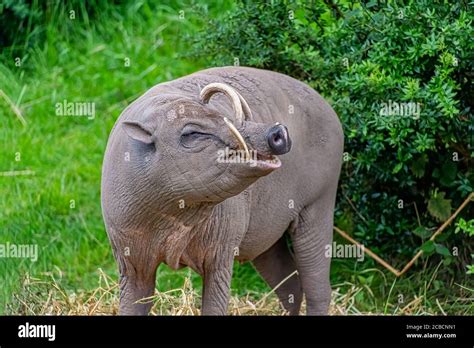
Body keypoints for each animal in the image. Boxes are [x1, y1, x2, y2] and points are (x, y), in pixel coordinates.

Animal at [101, 66, 344, 316]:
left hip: (319, 204)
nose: (277, 132)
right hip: (266, 236)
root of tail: (326, 105)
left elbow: (215, 305)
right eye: (191, 134)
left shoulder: (219, 254)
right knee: (291, 285)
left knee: (318, 289)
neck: (176, 210)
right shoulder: (131, 261)